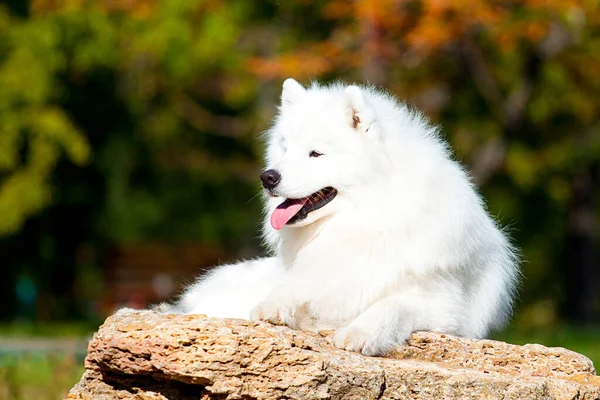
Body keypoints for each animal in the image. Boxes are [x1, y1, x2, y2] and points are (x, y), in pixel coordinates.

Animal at [159, 78, 520, 356]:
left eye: (316, 153)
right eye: (285, 149)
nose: (267, 177)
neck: (362, 221)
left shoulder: (443, 306)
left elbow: (390, 306)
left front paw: (360, 333)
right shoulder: (319, 274)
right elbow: (295, 287)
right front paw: (274, 307)